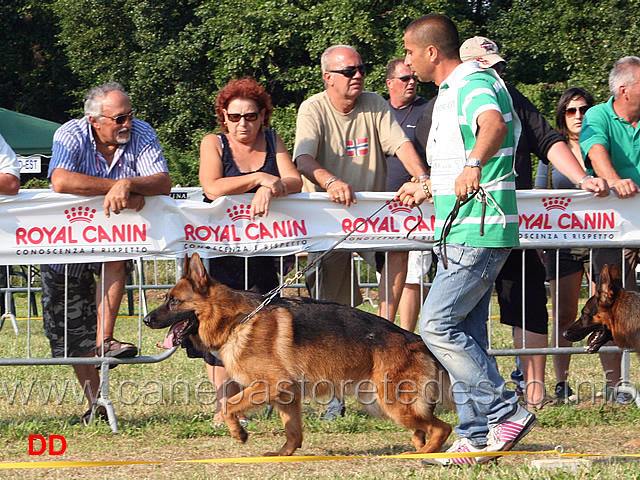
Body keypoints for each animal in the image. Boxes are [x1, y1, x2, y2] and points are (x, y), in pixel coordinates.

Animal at [145, 253, 456, 456]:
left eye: (173, 301)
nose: (147, 319)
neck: (236, 320)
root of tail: (415, 339)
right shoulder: (287, 394)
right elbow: (292, 430)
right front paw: (284, 453)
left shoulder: (269, 385)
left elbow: (229, 404)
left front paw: (238, 433)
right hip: (380, 403)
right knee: (424, 429)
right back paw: (420, 447)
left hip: (392, 404)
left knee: (442, 428)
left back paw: (425, 454)